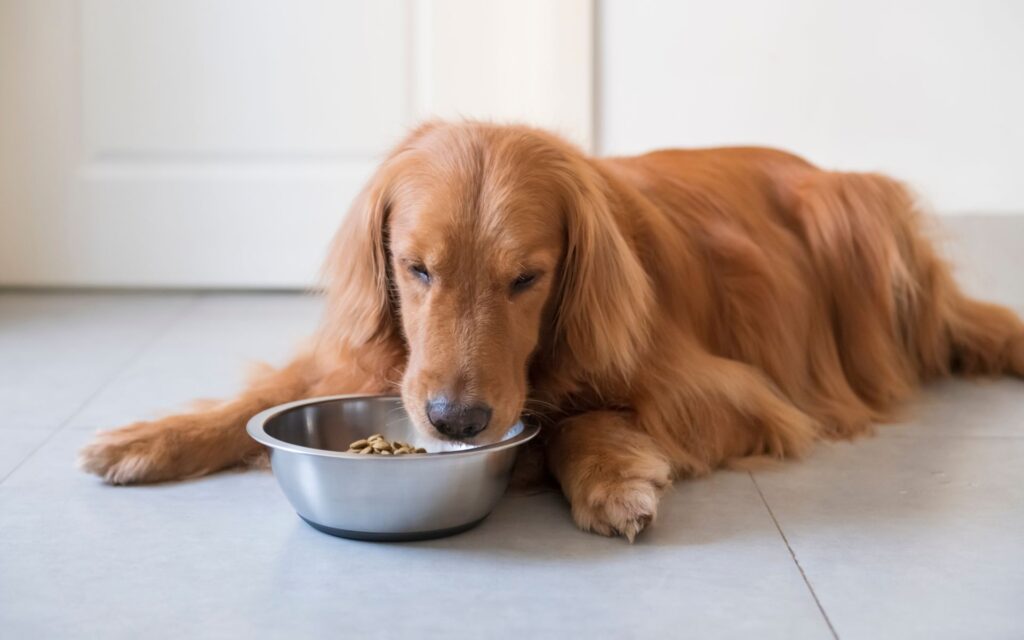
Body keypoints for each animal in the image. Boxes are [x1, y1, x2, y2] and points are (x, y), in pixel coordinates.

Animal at [77, 120, 1024, 540]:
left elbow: (576, 420)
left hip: (857, 224)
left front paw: (609, 479)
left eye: (526, 279)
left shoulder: (732, 394)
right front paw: (150, 437)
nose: (455, 422)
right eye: (416, 269)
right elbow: (265, 396)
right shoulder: (371, 356)